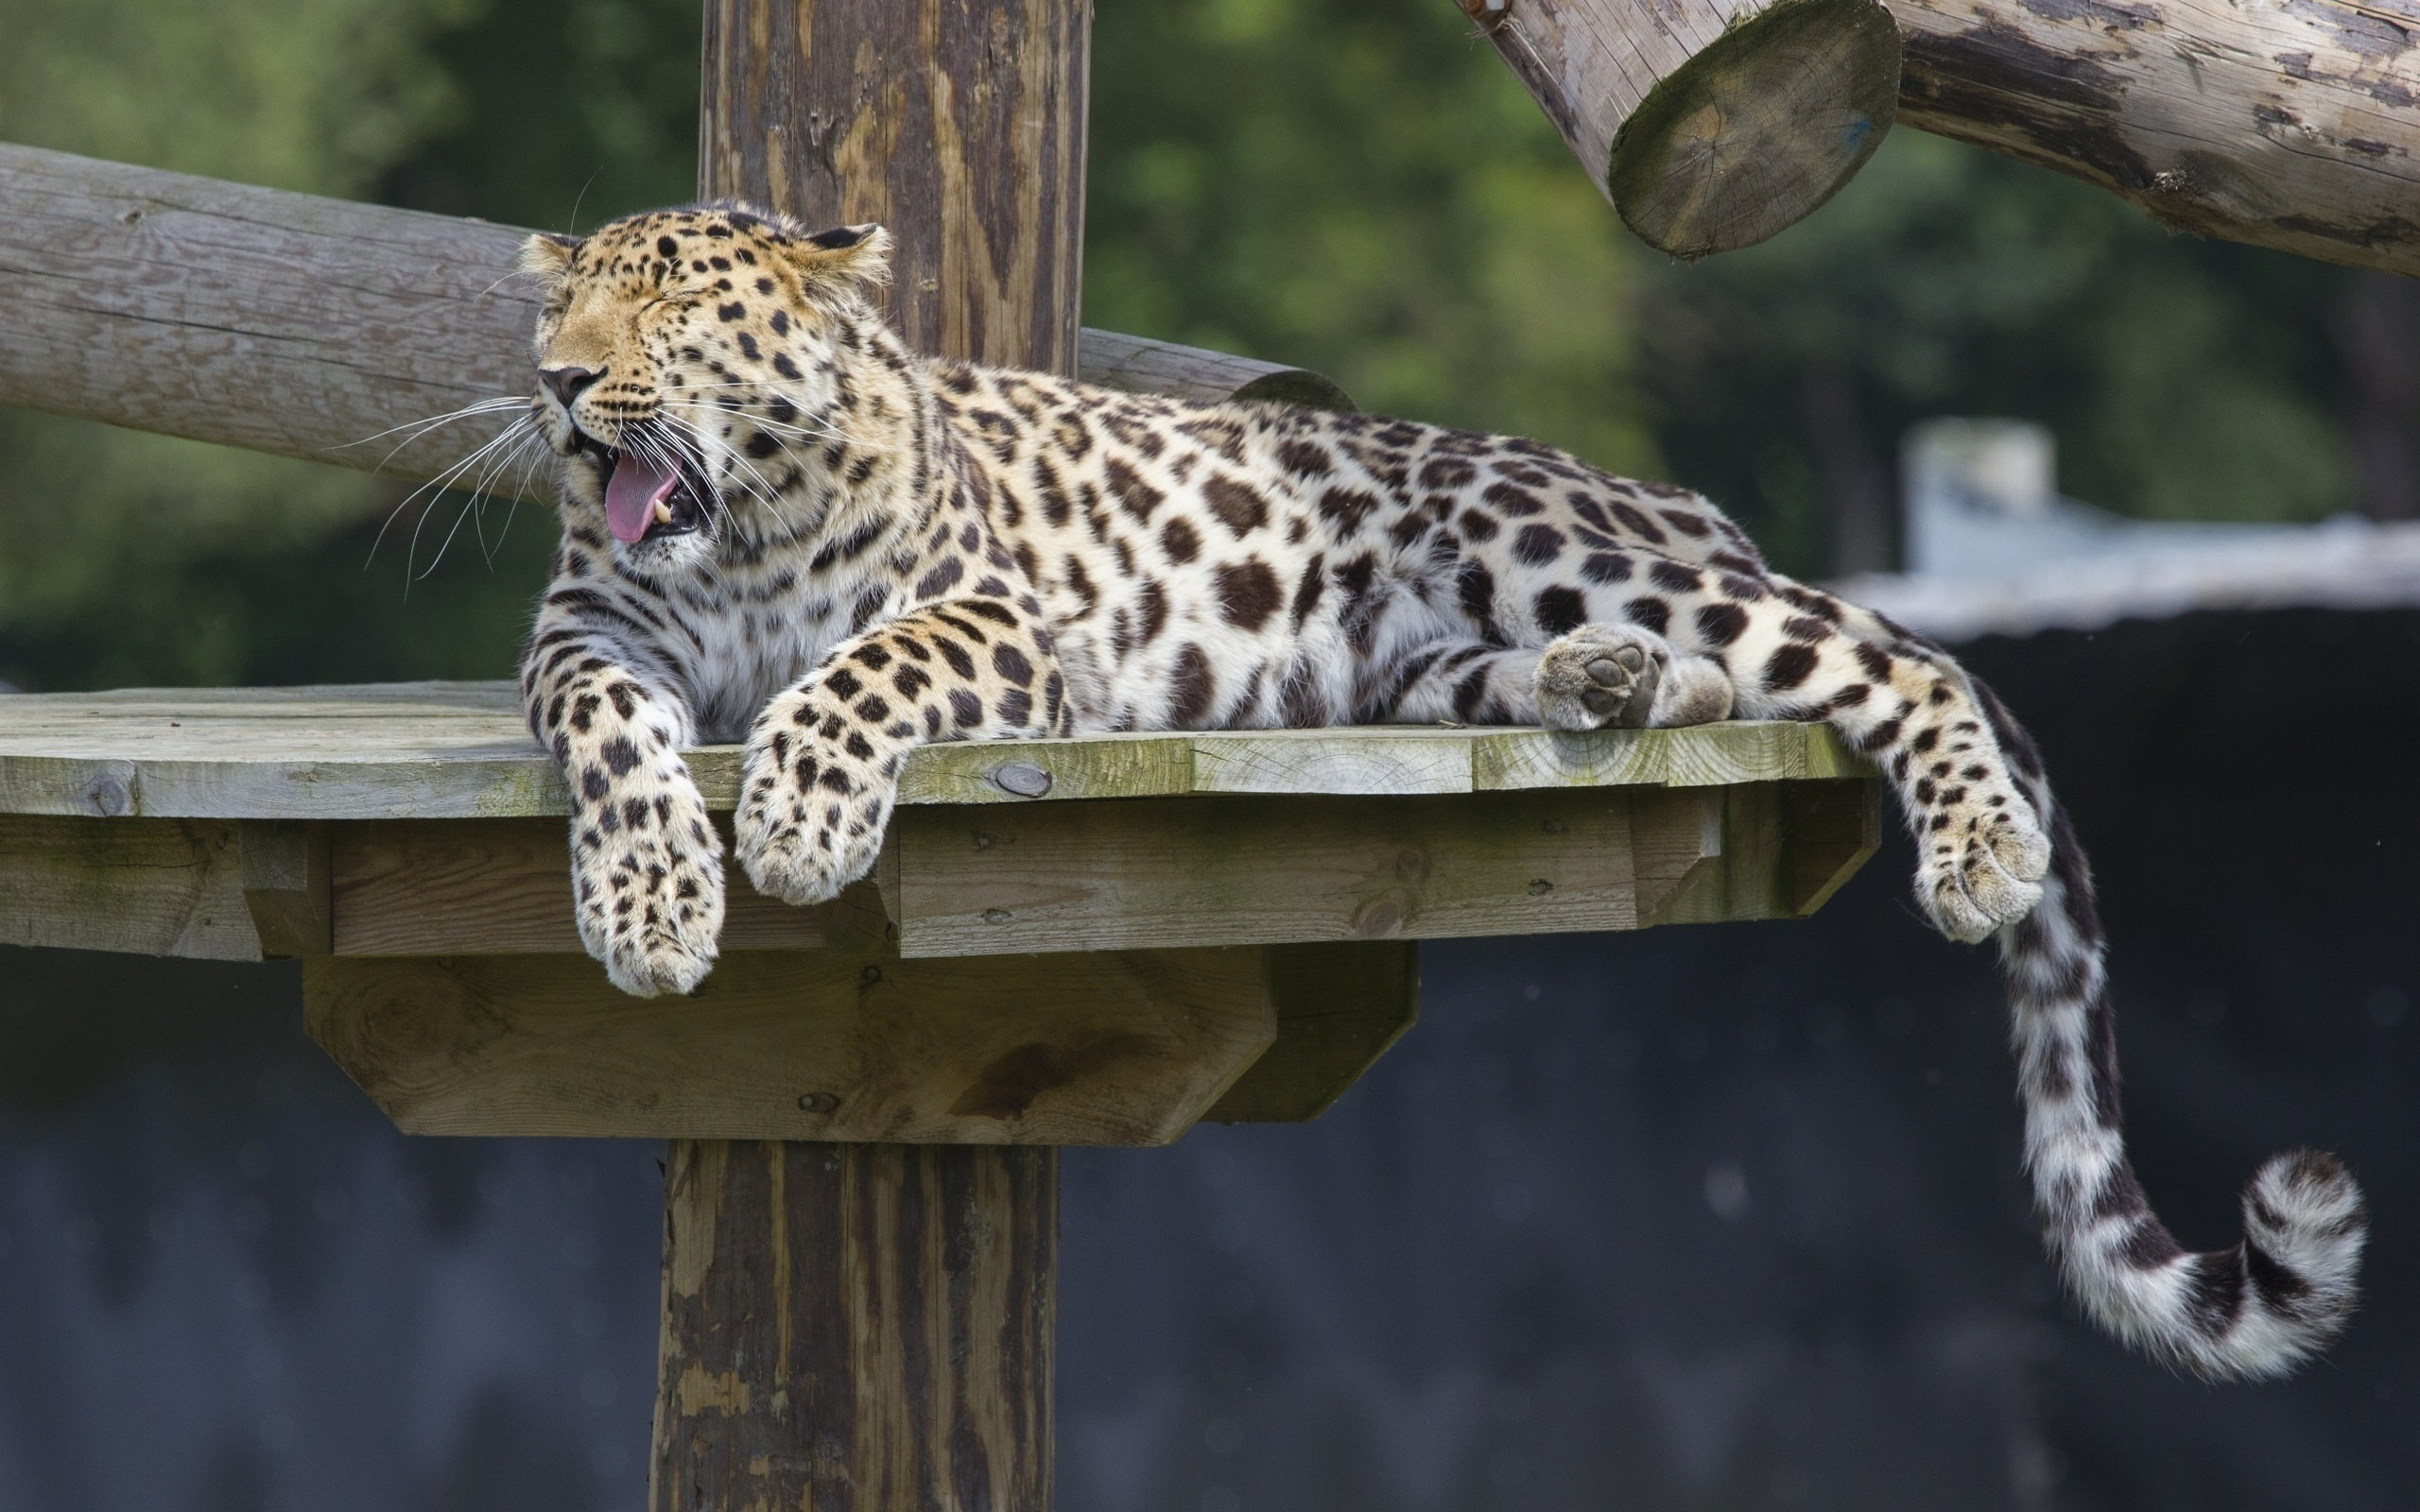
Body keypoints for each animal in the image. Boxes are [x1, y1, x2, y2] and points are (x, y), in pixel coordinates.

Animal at [512, 202, 2364, 1381]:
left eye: (667, 310)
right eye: (561, 309)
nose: (557, 386)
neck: (738, 533)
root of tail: (1688, 508)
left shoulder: (999, 619)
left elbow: (854, 681)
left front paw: (795, 825)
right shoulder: (588, 636)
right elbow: (612, 736)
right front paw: (650, 903)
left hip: (1538, 540)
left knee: (1889, 660)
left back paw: (1973, 842)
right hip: (1425, 658)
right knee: (1674, 674)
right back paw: (1611, 688)